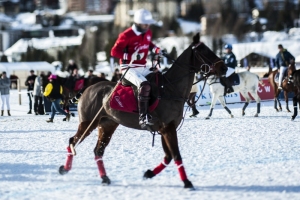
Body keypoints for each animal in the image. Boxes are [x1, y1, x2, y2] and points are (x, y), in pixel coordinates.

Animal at [57, 33, 226, 189]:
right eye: (203, 51)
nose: (224, 67)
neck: (171, 89)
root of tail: (87, 88)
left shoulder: (165, 129)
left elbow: (168, 156)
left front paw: (148, 173)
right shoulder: (167, 128)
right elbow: (176, 155)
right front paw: (187, 182)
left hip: (107, 124)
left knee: (98, 151)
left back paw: (104, 178)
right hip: (88, 123)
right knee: (73, 141)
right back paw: (65, 168)